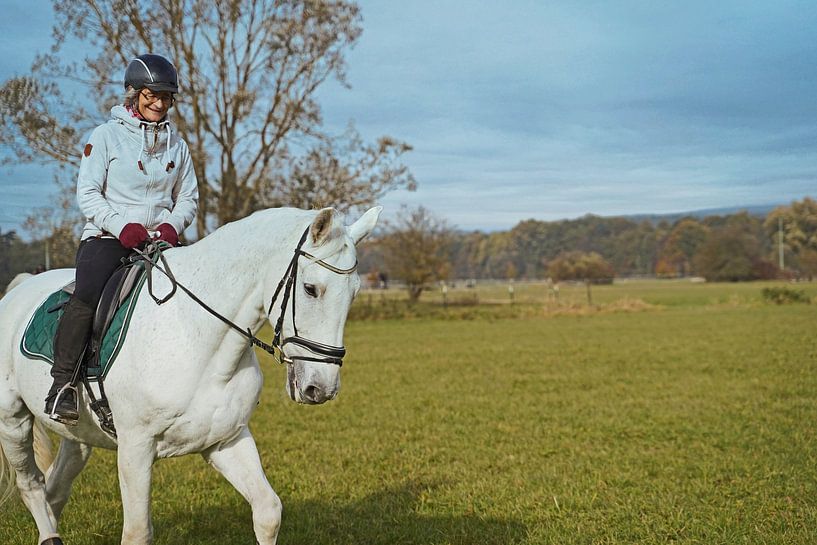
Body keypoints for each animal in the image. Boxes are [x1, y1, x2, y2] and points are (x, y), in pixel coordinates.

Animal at [0, 206, 382, 545]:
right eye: (310, 289)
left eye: (355, 293)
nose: (321, 388)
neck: (195, 334)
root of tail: (18, 290)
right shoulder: (136, 448)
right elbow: (138, 533)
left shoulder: (225, 439)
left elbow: (268, 512)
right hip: (12, 421)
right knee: (32, 485)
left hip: (78, 436)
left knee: (55, 489)